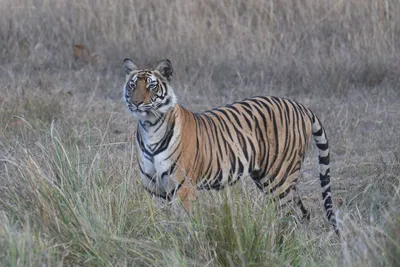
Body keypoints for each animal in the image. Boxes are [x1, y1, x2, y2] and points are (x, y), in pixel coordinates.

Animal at [122, 57, 338, 236]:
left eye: (151, 86)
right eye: (132, 86)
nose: (136, 103)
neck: (150, 128)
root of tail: (300, 105)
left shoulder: (183, 189)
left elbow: (184, 224)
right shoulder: (154, 189)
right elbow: (159, 221)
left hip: (279, 177)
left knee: (289, 213)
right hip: (269, 178)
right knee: (302, 211)